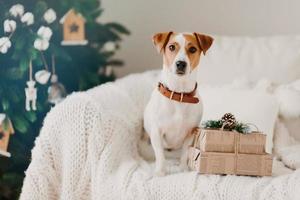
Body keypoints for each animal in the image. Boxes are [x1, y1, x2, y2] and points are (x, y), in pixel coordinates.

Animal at [143, 30, 213, 175]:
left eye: (192, 49)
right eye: (171, 47)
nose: (181, 63)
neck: (179, 95)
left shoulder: (190, 133)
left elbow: (185, 152)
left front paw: (183, 168)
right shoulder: (157, 132)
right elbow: (160, 154)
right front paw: (160, 171)